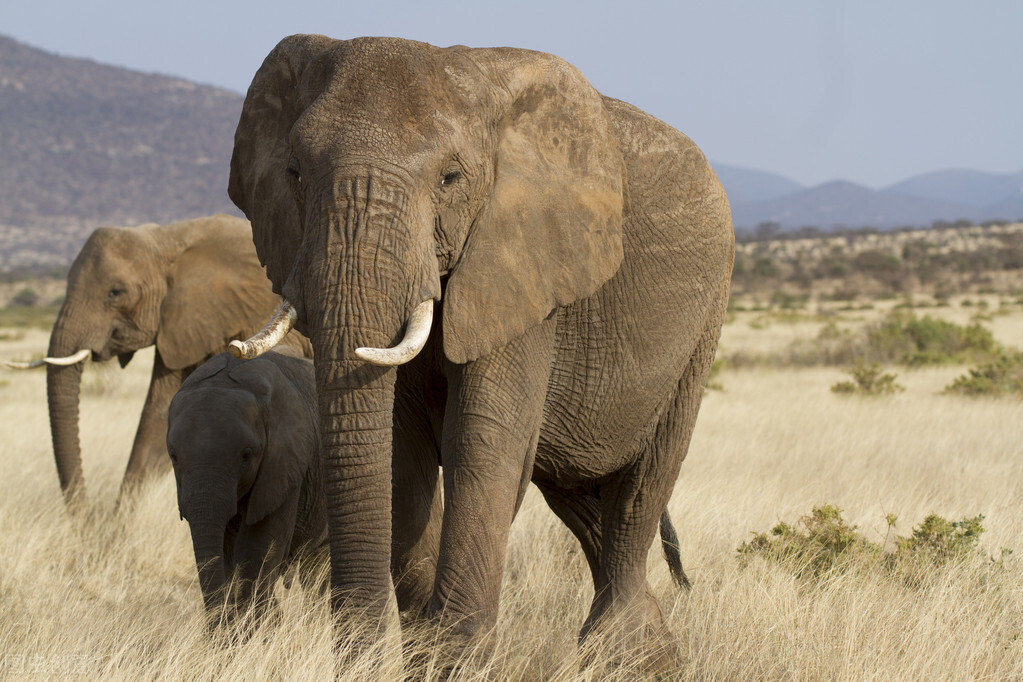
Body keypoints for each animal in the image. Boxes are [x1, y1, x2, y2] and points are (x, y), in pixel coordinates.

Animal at [9, 215, 310, 505]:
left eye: (115, 292)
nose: (89, 516)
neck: (169, 239)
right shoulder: (181, 327)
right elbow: (159, 418)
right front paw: (118, 524)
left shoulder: (257, 316)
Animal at [228, 36, 732, 662]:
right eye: (294, 172)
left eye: (450, 178)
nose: (355, 645)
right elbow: (401, 452)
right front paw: (423, 644)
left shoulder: (524, 269)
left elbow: (482, 441)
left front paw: (454, 655)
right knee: (577, 493)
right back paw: (649, 650)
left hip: (706, 319)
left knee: (643, 485)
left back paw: (622, 651)